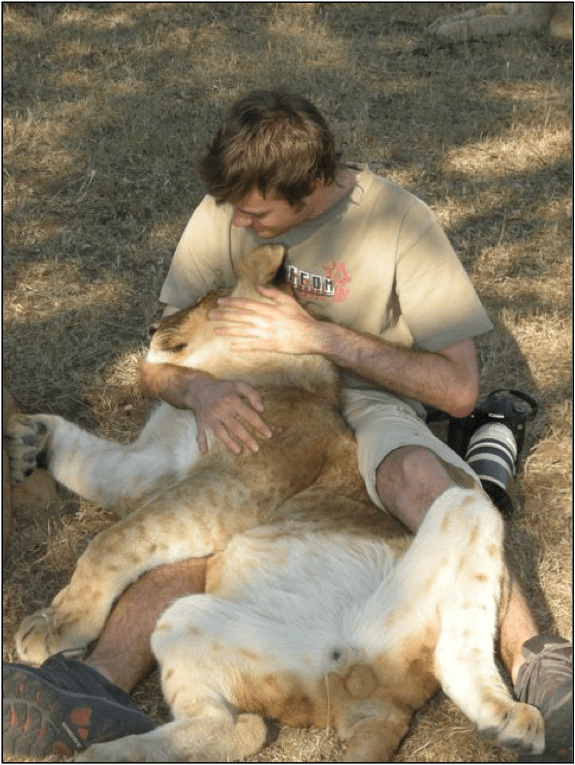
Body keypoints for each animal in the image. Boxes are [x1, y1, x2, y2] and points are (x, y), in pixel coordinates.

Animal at [429, 3, 572, 42]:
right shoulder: (502, 6)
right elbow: (473, 12)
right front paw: (439, 23)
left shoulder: (532, 20)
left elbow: (487, 22)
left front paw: (447, 30)